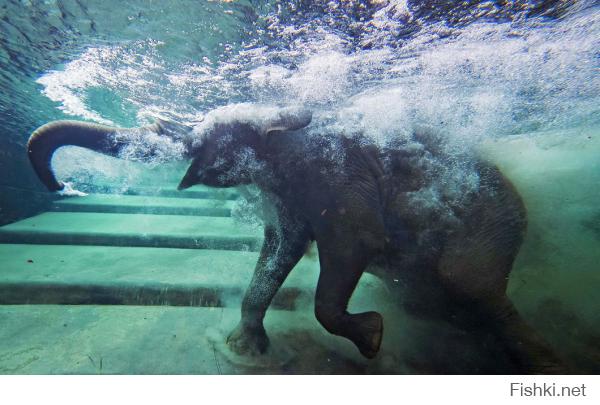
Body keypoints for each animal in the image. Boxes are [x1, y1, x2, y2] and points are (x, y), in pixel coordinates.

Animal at [27, 104, 564, 372]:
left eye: (200, 139)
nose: (62, 187)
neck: (286, 120)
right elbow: (280, 246)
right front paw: (244, 351)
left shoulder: (338, 172)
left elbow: (354, 242)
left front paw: (372, 339)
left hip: (493, 223)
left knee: (467, 284)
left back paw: (547, 365)